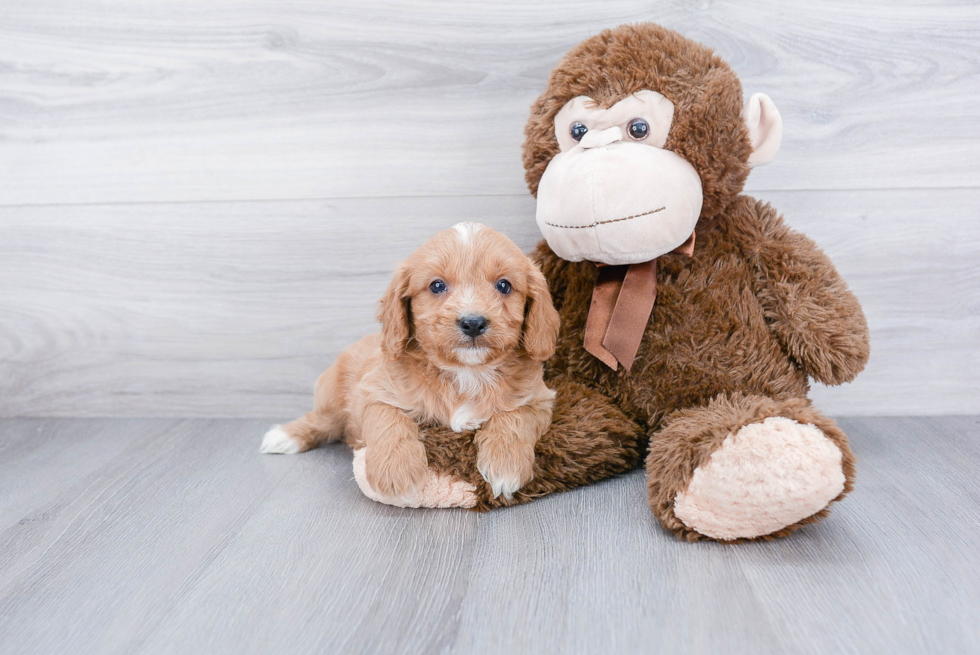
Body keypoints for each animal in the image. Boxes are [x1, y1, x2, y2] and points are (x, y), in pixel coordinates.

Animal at [260, 223, 560, 500]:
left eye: (504, 285)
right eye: (437, 286)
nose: (473, 322)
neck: (465, 372)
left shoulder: (539, 400)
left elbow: (514, 417)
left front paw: (505, 466)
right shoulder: (373, 390)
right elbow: (389, 419)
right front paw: (396, 473)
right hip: (332, 396)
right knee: (321, 421)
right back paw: (284, 436)